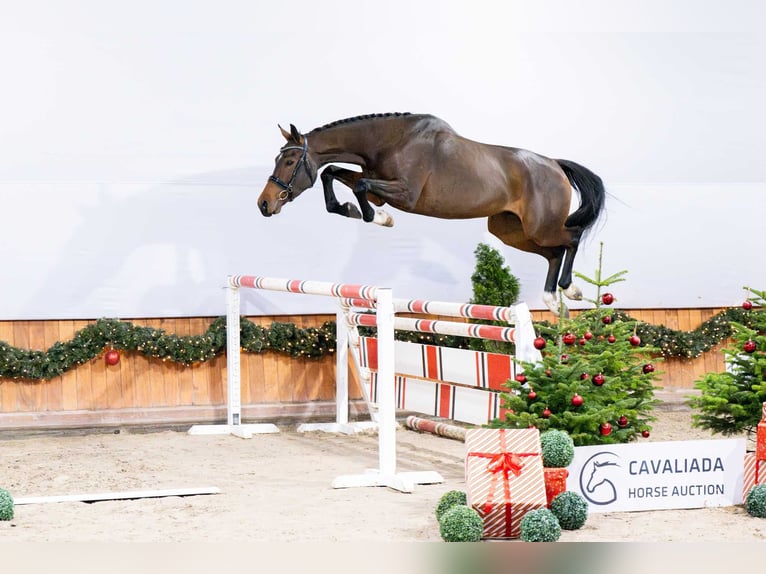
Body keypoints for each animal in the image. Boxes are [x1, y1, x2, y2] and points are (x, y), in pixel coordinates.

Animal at [257, 112, 606, 315]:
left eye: (289, 161)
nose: (264, 204)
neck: (388, 141)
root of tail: (555, 165)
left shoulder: (405, 194)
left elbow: (356, 185)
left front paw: (378, 218)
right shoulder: (377, 188)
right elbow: (333, 174)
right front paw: (351, 210)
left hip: (539, 226)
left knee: (571, 238)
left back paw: (570, 289)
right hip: (509, 231)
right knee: (553, 252)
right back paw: (552, 299)